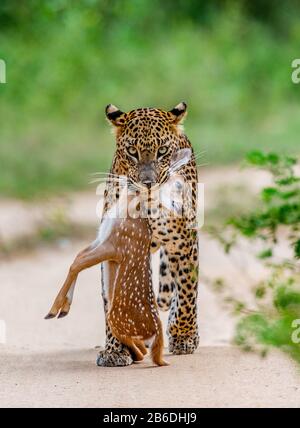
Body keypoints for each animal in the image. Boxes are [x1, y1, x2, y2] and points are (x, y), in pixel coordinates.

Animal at [96, 102, 199, 366]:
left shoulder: (184, 242)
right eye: (132, 151)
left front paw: (184, 337)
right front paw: (115, 350)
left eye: (162, 151)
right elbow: (112, 298)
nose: (148, 183)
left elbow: (186, 292)